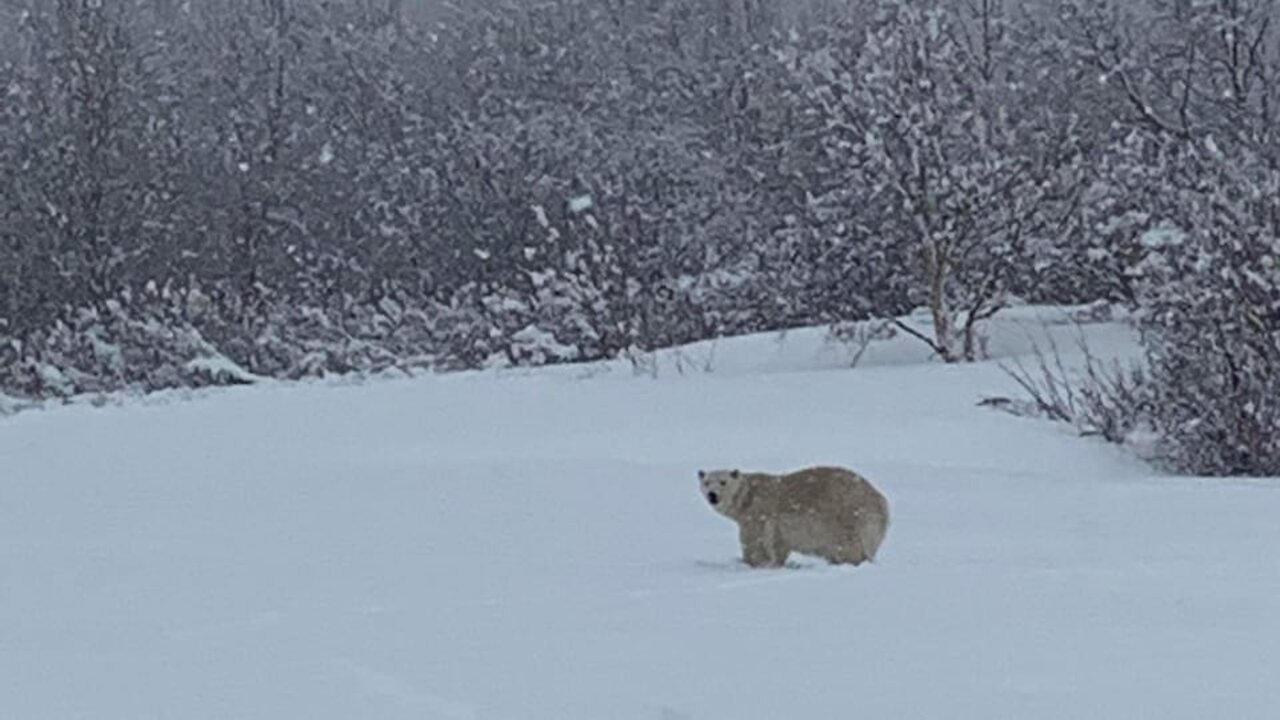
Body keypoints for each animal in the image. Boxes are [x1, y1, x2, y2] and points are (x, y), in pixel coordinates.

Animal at [701, 466, 890, 566]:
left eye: (723, 482)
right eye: (706, 482)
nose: (712, 495)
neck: (748, 497)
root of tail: (881, 502)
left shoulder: (758, 514)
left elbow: (755, 542)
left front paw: (752, 562)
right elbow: (778, 545)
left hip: (847, 517)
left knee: (848, 546)